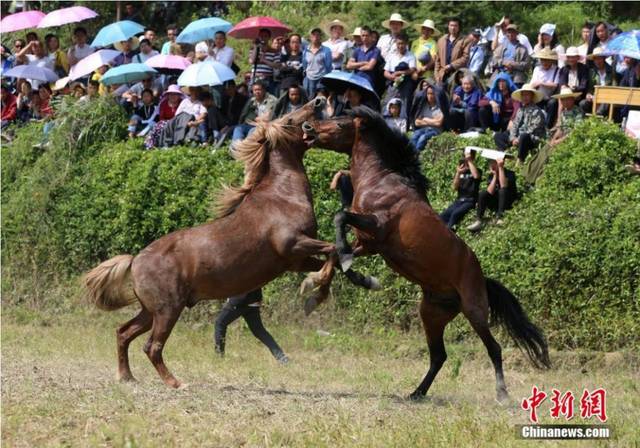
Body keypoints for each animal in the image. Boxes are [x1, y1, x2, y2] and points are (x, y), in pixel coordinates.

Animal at [82, 99, 378, 388]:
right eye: (291, 119)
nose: (318, 101)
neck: (282, 197)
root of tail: (135, 260)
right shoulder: (293, 245)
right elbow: (332, 252)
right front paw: (314, 293)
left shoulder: (294, 260)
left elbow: (335, 260)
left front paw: (364, 281)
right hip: (167, 310)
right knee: (151, 346)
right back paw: (175, 383)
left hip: (149, 311)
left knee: (123, 332)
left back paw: (127, 377)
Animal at [302, 107, 552, 400]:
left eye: (341, 123)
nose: (308, 127)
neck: (380, 180)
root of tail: (483, 279)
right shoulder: (369, 243)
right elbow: (333, 251)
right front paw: (322, 288)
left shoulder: (376, 226)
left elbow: (340, 219)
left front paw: (350, 270)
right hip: (432, 314)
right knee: (439, 356)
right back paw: (417, 393)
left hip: (475, 311)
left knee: (493, 348)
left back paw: (502, 395)